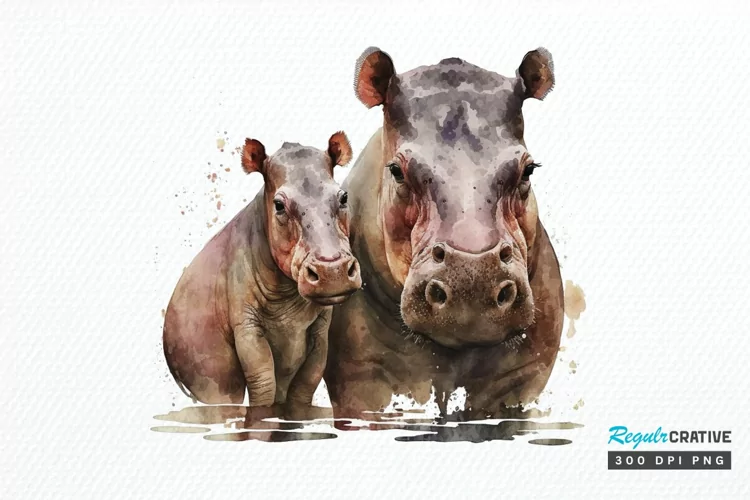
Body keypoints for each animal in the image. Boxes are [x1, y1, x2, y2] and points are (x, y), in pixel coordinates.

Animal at [163, 132, 362, 412]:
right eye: (278, 205)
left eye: (343, 197)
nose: (332, 271)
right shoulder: (246, 326)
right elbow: (262, 382)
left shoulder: (320, 328)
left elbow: (305, 386)